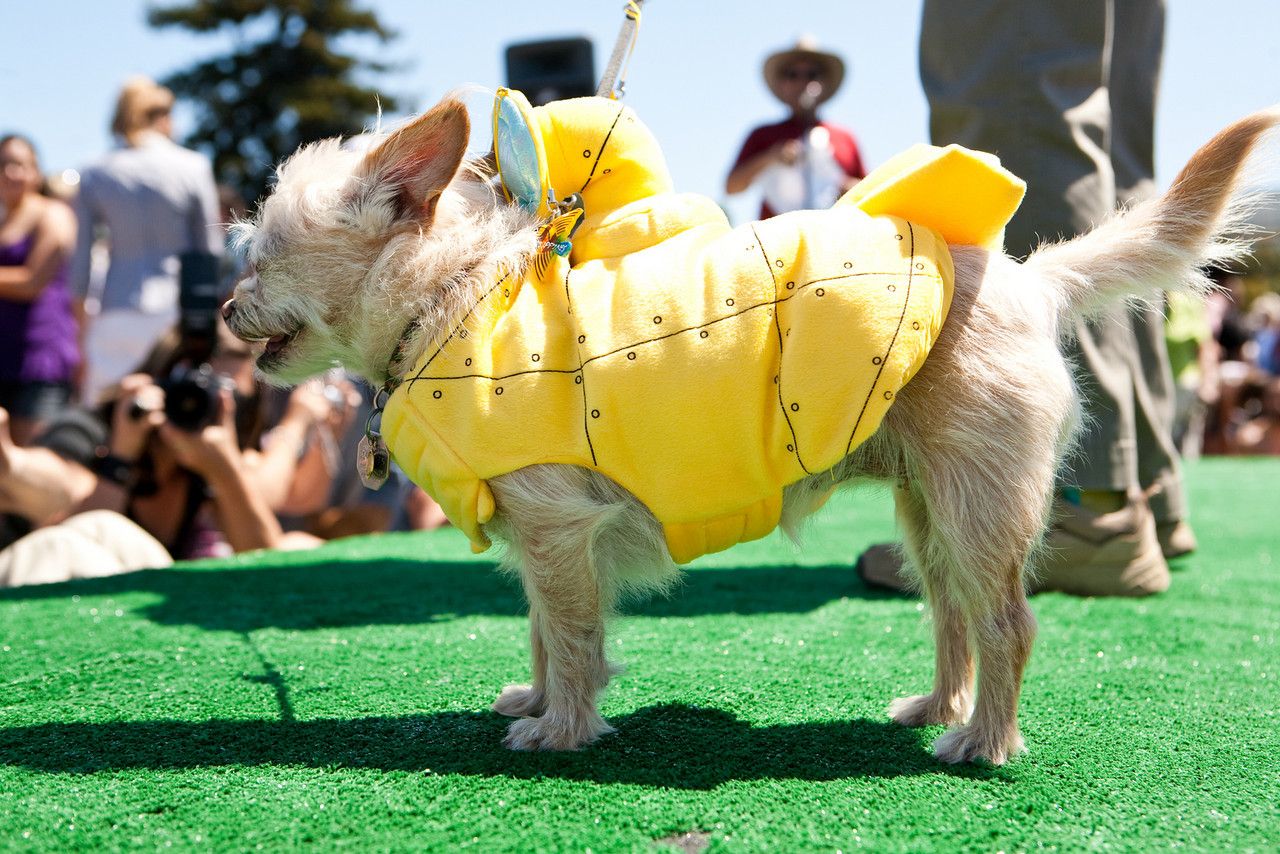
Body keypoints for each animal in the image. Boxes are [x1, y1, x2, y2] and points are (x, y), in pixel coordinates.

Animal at [223, 93, 1276, 764]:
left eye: (261, 258)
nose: (226, 308)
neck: (455, 301)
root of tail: (1028, 276)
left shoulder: (556, 527)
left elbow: (569, 633)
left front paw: (561, 730)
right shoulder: (544, 541)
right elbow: (542, 630)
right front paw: (539, 701)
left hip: (979, 507)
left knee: (1009, 623)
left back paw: (983, 743)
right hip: (929, 513)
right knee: (953, 618)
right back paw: (938, 706)